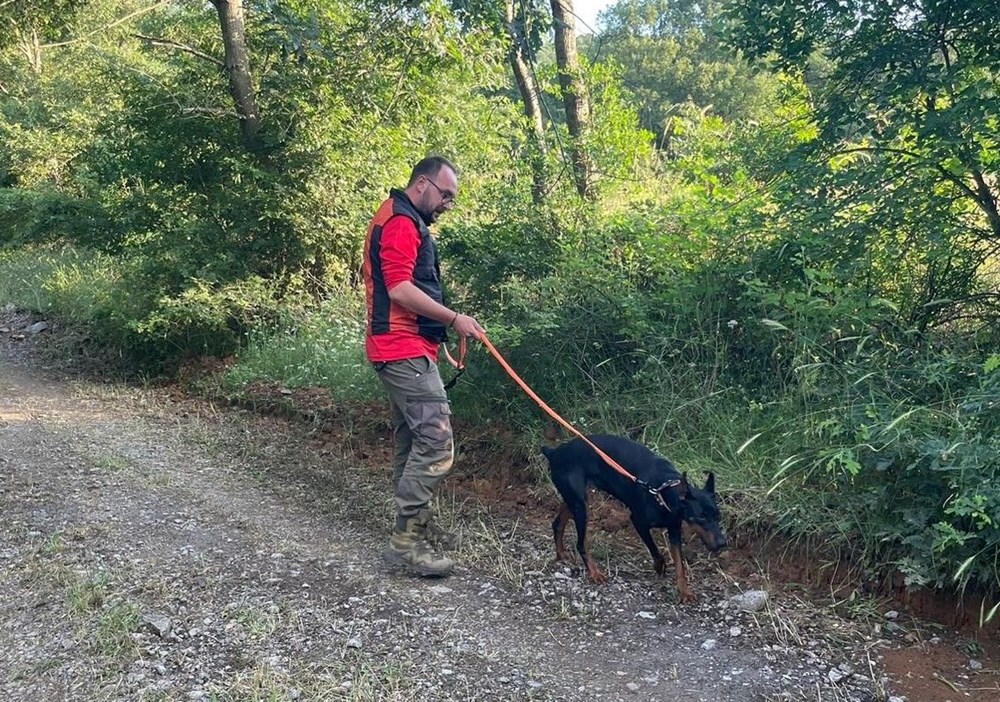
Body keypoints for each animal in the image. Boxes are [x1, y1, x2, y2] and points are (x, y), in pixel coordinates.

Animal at [540, 434, 728, 604]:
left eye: (718, 516)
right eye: (700, 517)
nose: (722, 543)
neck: (662, 492)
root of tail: (555, 452)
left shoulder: (674, 528)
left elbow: (680, 565)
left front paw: (685, 592)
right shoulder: (638, 522)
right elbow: (655, 551)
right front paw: (660, 567)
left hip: (574, 499)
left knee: (557, 524)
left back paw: (561, 553)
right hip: (580, 507)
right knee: (580, 544)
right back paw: (595, 573)